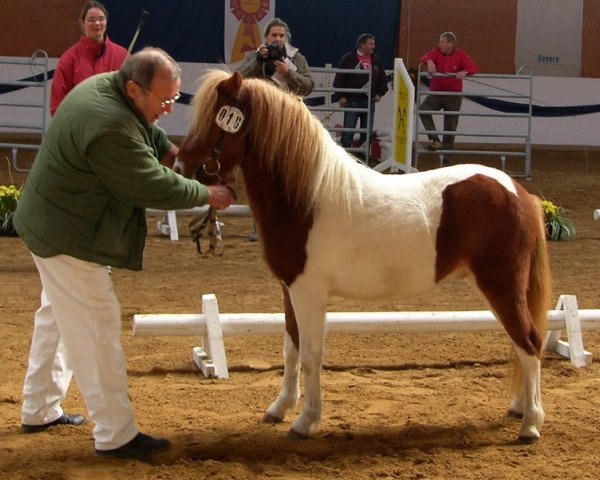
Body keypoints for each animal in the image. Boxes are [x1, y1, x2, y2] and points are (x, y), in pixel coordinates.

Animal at [177, 69, 552, 444]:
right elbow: (291, 349)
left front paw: (305, 421)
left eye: (217, 117)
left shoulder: (309, 292)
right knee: (522, 342)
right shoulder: (290, 289)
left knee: (529, 341)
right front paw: (279, 408)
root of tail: (520, 194)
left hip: (501, 285)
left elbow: (311, 354)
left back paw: (530, 424)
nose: (182, 166)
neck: (307, 199)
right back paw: (519, 408)